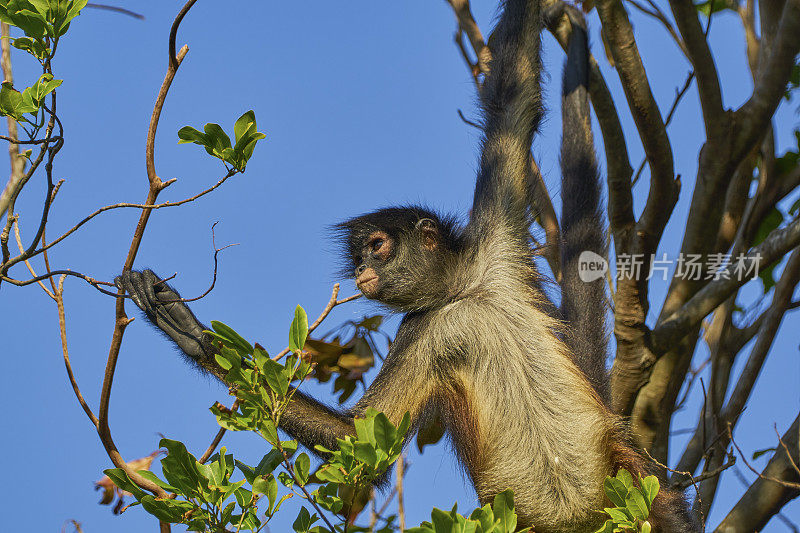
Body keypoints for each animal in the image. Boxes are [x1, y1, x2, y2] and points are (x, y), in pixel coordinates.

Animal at [115, 2, 696, 528]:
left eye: (376, 245)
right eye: (358, 254)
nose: (360, 271)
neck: (463, 292)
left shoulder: (497, 239)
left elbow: (514, 103)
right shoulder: (421, 330)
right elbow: (357, 442)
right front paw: (194, 337)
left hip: (631, 486)